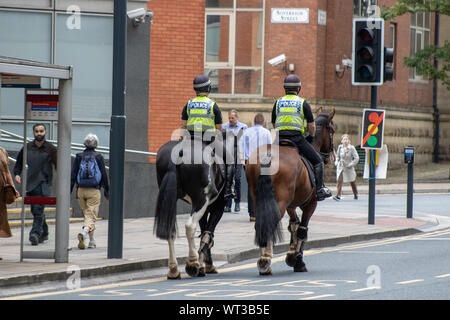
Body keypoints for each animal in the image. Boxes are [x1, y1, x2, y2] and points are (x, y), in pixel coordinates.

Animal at [154, 129, 236, 278]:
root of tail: (180, 149)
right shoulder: (217, 207)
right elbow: (208, 233)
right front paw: (206, 265)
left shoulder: (205, 209)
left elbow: (204, 232)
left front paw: (205, 264)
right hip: (201, 199)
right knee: (190, 226)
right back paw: (192, 263)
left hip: (172, 199)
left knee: (170, 228)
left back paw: (174, 270)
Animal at [246, 107, 334, 276]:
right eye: (332, 131)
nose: (329, 157)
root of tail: (268, 155)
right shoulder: (310, 204)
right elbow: (302, 229)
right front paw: (297, 260)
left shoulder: (291, 205)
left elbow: (294, 224)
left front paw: (293, 254)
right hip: (280, 201)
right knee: (270, 222)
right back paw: (265, 261)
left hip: (256, 198)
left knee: (260, 223)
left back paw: (264, 259)